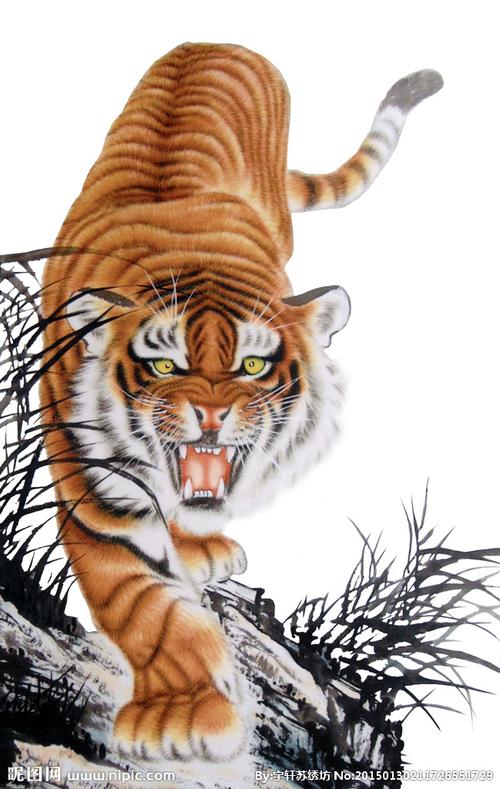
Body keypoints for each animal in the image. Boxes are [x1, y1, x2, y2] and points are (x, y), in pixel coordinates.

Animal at [40, 42, 442, 761]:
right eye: (164, 364)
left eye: (252, 366)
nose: (210, 416)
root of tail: (212, 40)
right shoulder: (94, 492)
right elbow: (139, 608)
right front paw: (181, 714)